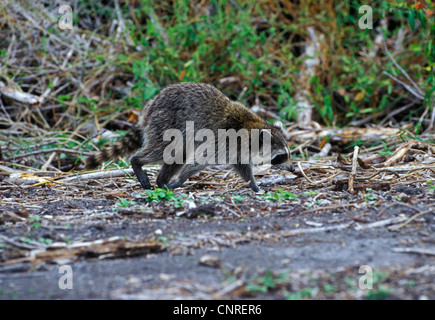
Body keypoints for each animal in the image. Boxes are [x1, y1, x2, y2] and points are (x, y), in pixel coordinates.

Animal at [84, 84, 296, 191]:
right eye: (282, 156)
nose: (293, 168)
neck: (251, 129)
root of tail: (150, 106)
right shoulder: (223, 140)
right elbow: (200, 159)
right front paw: (182, 178)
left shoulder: (235, 148)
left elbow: (241, 166)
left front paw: (253, 184)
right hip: (165, 123)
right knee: (162, 150)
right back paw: (137, 162)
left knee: (177, 154)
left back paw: (161, 181)